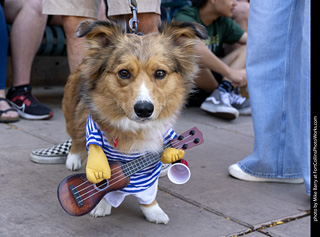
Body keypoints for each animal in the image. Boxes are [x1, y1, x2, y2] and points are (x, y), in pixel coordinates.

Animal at [62, 19, 206, 224]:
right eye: (124, 73)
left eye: (160, 73)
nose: (144, 109)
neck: (135, 128)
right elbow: (104, 178)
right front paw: (102, 204)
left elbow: (148, 190)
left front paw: (153, 211)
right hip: (72, 110)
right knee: (76, 134)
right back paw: (73, 158)